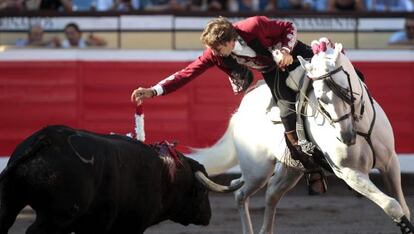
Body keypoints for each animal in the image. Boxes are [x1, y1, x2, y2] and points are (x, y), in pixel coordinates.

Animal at [0, 126, 243, 234]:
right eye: (203, 192)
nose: (208, 216)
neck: (166, 175)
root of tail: (45, 139)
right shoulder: (129, 228)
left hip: (10, 205)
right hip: (55, 217)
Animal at [188, 39, 414, 234]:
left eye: (345, 89)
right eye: (320, 99)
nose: (346, 136)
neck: (360, 127)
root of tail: (240, 111)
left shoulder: (390, 162)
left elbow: (404, 207)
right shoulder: (349, 173)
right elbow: (392, 205)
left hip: (291, 169)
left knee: (271, 193)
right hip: (257, 170)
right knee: (240, 194)